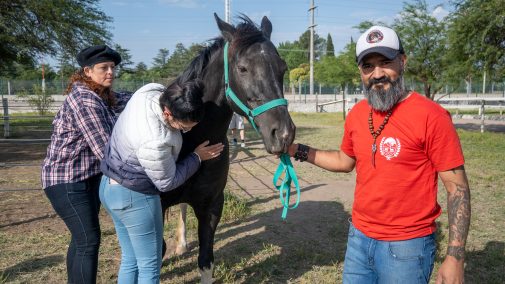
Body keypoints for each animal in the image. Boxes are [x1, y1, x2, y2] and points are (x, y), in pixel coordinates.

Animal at [160, 13, 296, 282]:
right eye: (242, 68)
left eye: (283, 68)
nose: (284, 135)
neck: (193, 139)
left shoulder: (211, 206)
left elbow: (206, 261)